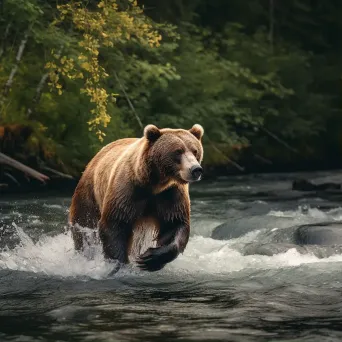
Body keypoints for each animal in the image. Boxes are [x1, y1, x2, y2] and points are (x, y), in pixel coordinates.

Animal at [68, 124, 204, 272]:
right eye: (178, 151)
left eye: (195, 151)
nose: (196, 169)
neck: (155, 184)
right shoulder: (128, 190)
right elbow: (115, 224)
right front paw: (119, 264)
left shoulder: (170, 194)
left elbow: (175, 224)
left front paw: (150, 258)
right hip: (89, 192)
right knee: (84, 226)